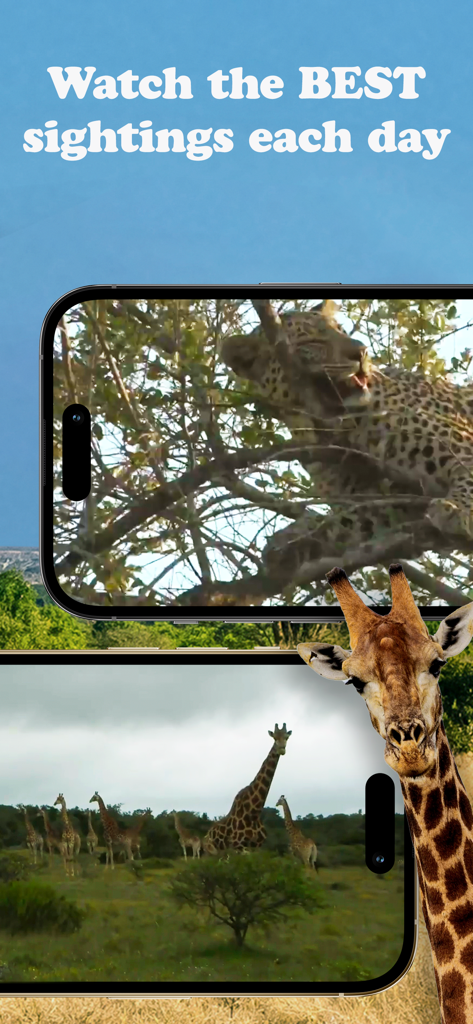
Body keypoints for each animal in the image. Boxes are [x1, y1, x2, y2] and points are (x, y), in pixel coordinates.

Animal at [203, 724, 292, 854]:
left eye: (287, 737)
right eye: (274, 738)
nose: (282, 749)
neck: (254, 813)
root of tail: (206, 835)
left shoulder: (257, 847)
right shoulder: (238, 847)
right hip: (210, 852)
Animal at [220, 302, 473, 574]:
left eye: (340, 330)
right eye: (312, 342)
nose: (362, 352)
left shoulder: (463, 442)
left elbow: (466, 478)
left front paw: (457, 509)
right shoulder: (379, 503)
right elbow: (340, 522)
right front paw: (291, 540)